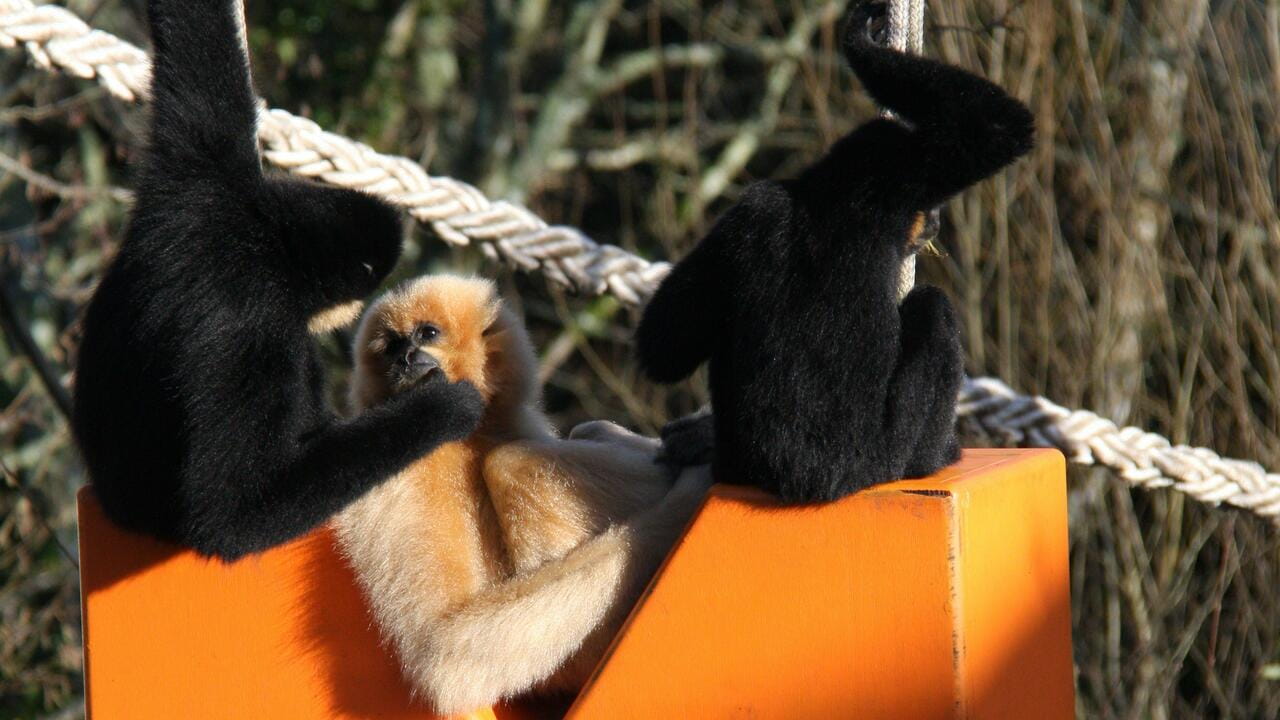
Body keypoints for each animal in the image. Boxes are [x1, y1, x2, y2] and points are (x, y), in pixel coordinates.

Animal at [333, 275, 711, 715]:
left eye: (427, 333)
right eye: (391, 345)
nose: (406, 357)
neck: (467, 437)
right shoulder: (397, 471)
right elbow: (442, 649)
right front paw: (686, 496)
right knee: (514, 464)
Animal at [636, 0, 1035, 503]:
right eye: (930, 210)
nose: (935, 222)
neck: (837, 197)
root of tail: (810, 479)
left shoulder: (756, 207)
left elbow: (662, 346)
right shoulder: (907, 178)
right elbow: (998, 129)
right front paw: (861, 40)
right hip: (887, 455)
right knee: (933, 309)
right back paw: (938, 454)